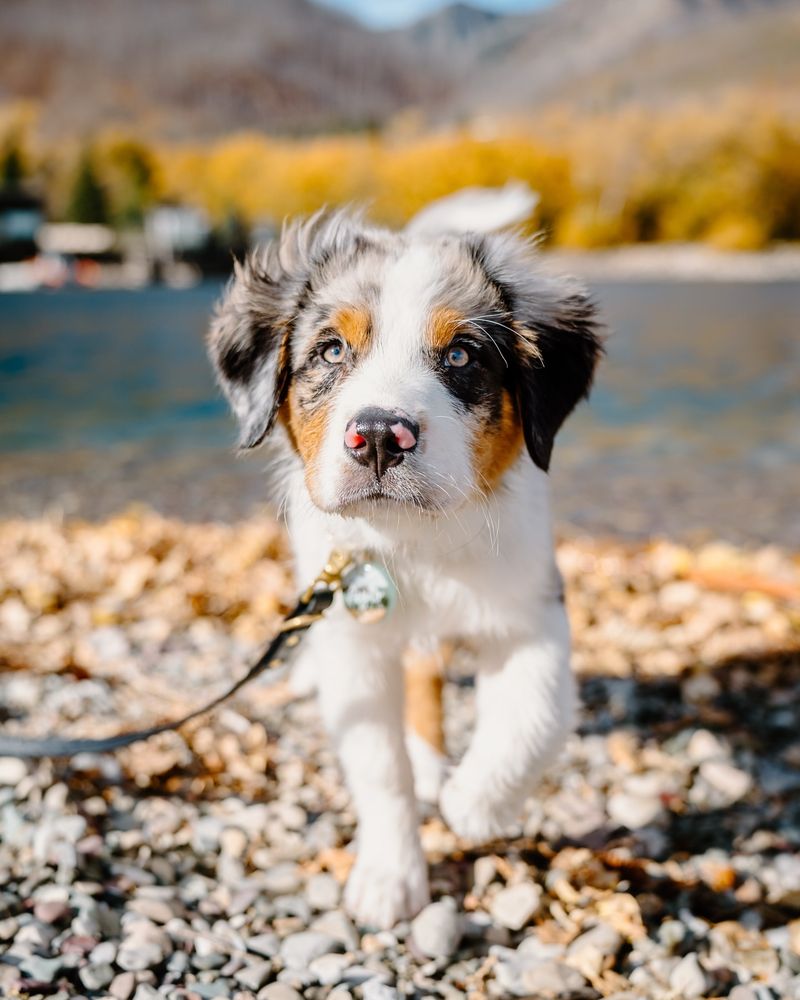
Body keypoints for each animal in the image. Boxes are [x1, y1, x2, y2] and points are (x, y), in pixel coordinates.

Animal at [206, 193, 600, 928]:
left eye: (462, 353)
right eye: (332, 349)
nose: (381, 437)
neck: (418, 544)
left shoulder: (530, 609)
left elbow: (531, 718)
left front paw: (477, 806)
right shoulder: (355, 644)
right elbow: (379, 765)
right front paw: (390, 876)